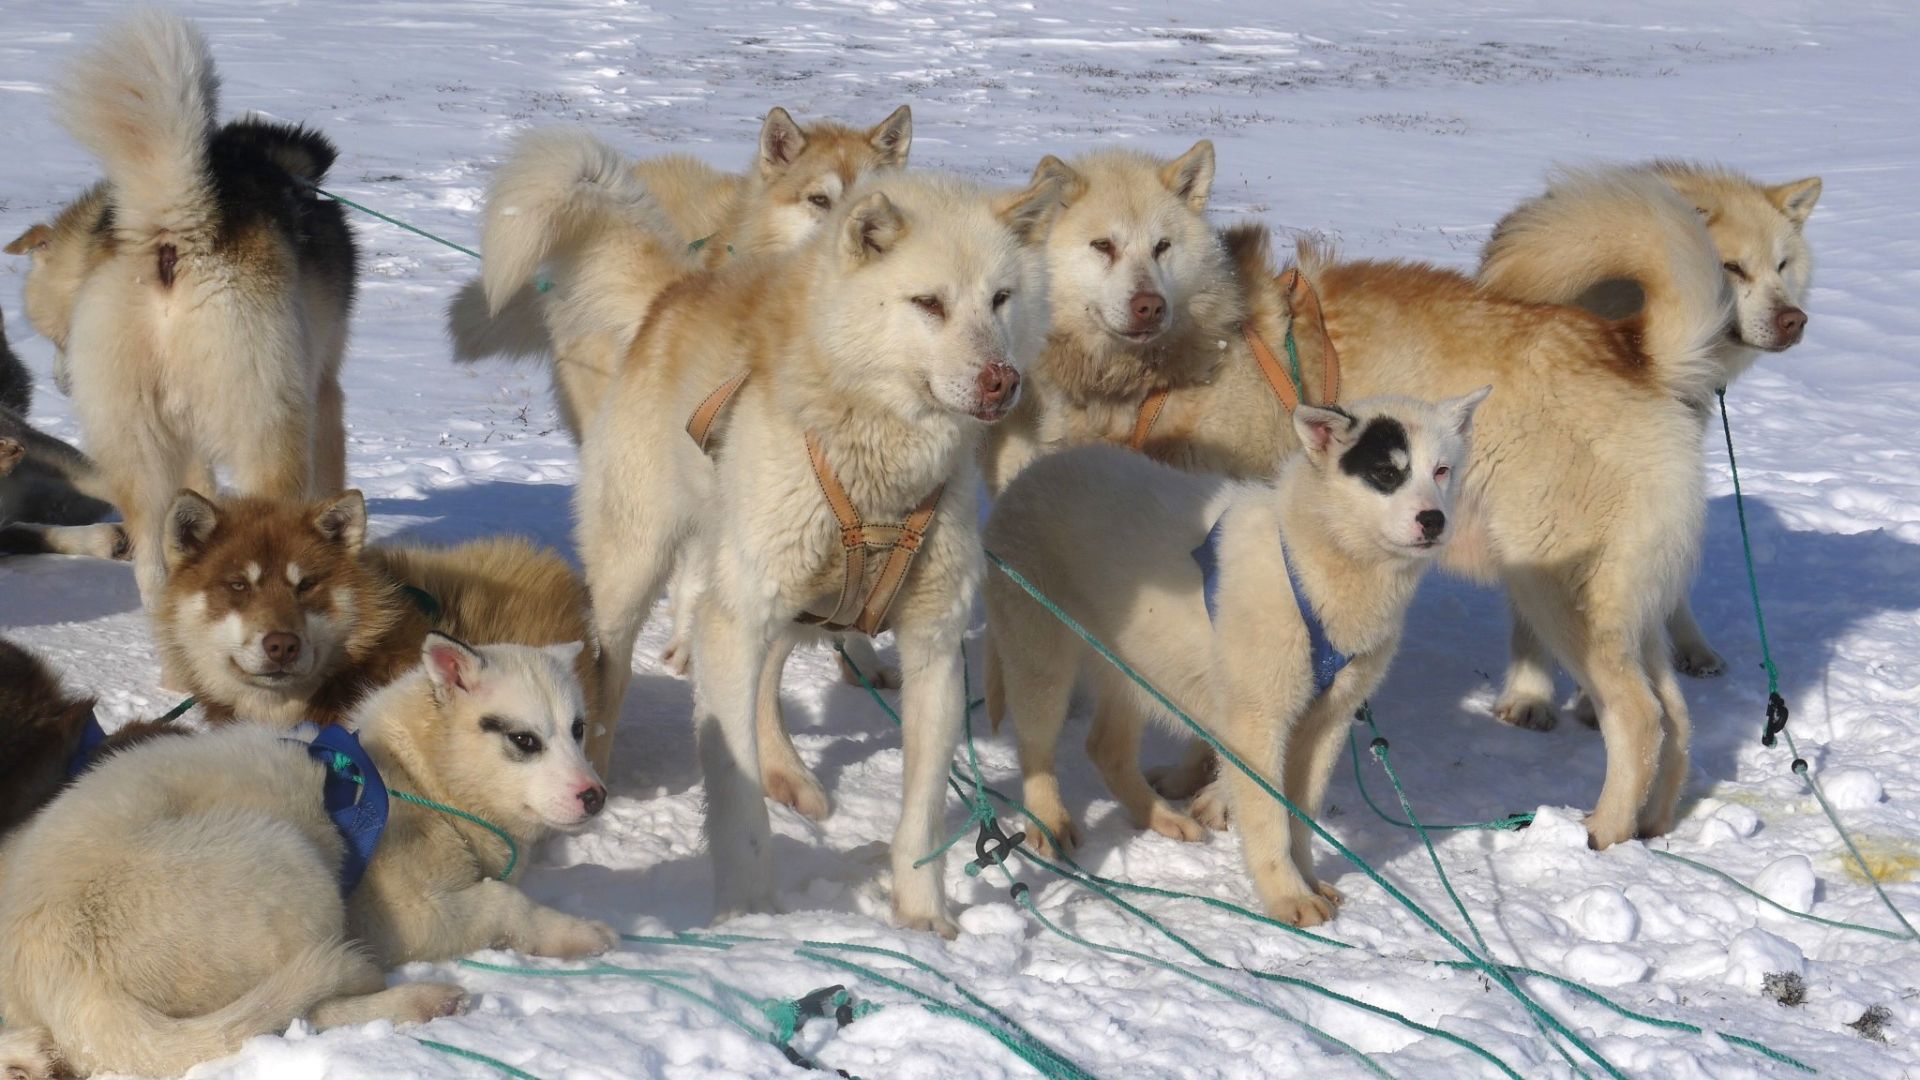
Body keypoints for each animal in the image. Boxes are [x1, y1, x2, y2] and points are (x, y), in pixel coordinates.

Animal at [0, 634, 610, 1068]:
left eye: (579, 729)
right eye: (524, 740)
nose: (596, 795)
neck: (411, 776)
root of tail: (63, 978)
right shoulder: (406, 919)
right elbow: (505, 902)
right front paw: (575, 933)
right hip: (292, 861)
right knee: (311, 1008)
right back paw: (419, 1001)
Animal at [576, 166, 1059, 926]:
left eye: (1001, 298)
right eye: (928, 302)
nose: (1001, 379)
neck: (879, 468)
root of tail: (675, 294)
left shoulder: (933, 643)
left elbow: (922, 808)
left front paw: (924, 916)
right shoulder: (735, 619)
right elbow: (737, 798)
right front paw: (749, 916)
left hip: (796, 602)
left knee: (767, 680)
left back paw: (787, 771)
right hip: (638, 573)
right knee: (612, 675)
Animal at [983, 390, 1489, 922]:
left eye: (1441, 471)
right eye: (1386, 474)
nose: (1434, 520)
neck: (1307, 563)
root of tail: (1032, 475)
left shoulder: (1325, 724)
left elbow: (1301, 816)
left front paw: (1308, 878)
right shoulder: (1257, 723)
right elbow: (1269, 818)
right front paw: (1287, 894)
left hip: (1135, 667)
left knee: (1105, 748)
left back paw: (1160, 817)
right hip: (1042, 662)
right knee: (1036, 748)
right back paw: (1048, 820)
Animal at [1474, 161, 1820, 722]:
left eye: (1781, 265)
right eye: (1732, 268)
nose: (1794, 320)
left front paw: (1589, 701)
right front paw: (1529, 694)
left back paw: (1692, 647)